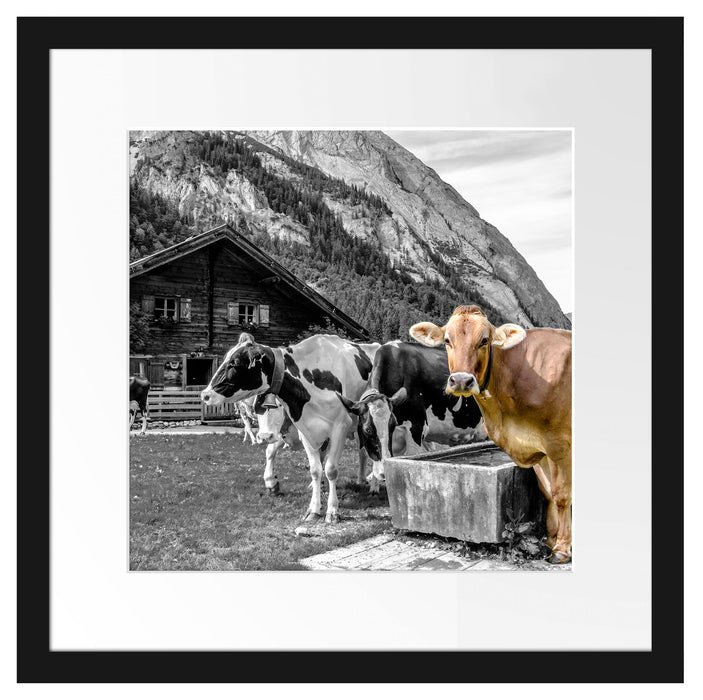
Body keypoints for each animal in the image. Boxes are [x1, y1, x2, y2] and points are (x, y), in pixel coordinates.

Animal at [201, 335, 380, 522]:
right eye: (258, 407)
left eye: (235, 363)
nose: (205, 395)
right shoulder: (306, 430)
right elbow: (314, 469)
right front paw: (313, 508)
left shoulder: (340, 427)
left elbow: (331, 469)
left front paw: (332, 511)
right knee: (362, 453)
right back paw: (361, 479)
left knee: (371, 453)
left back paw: (374, 485)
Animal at [410, 304, 572, 564]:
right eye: (447, 340)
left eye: (484, 340)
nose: (461, 380)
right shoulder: (537, 447)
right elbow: (547, 492)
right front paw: (552, 539)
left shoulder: (559, 445)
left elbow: (562, 495)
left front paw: (562, 549)